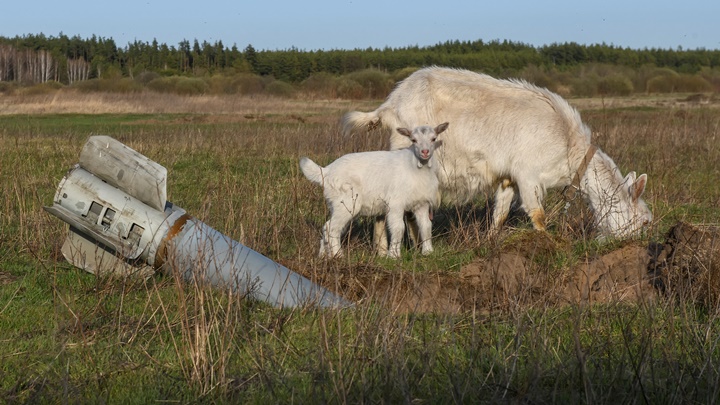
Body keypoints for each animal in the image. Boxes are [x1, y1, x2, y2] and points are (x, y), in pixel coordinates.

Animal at [300, 121, 448, 258]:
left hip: (337, 204)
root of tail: (326, 171)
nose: (425, 152)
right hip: (346, 202)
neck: (415, 167)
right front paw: (394, 255)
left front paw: (428, 252)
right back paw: (338, 255)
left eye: (433, 138)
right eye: (413, 140)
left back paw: (323, 256)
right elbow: (398, 228)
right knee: (331, 228)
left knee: (328, 228)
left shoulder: (422, 204)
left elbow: (426, 227)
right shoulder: (395, 203)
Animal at [344, 65, 652, 246]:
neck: (569, 145)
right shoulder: (528, 175)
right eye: (645, 221)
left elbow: (500, 213)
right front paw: (548, 244)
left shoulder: (509, 177)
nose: (633, 244)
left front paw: (491, 241)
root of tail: (389, 105)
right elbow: (537, 214)